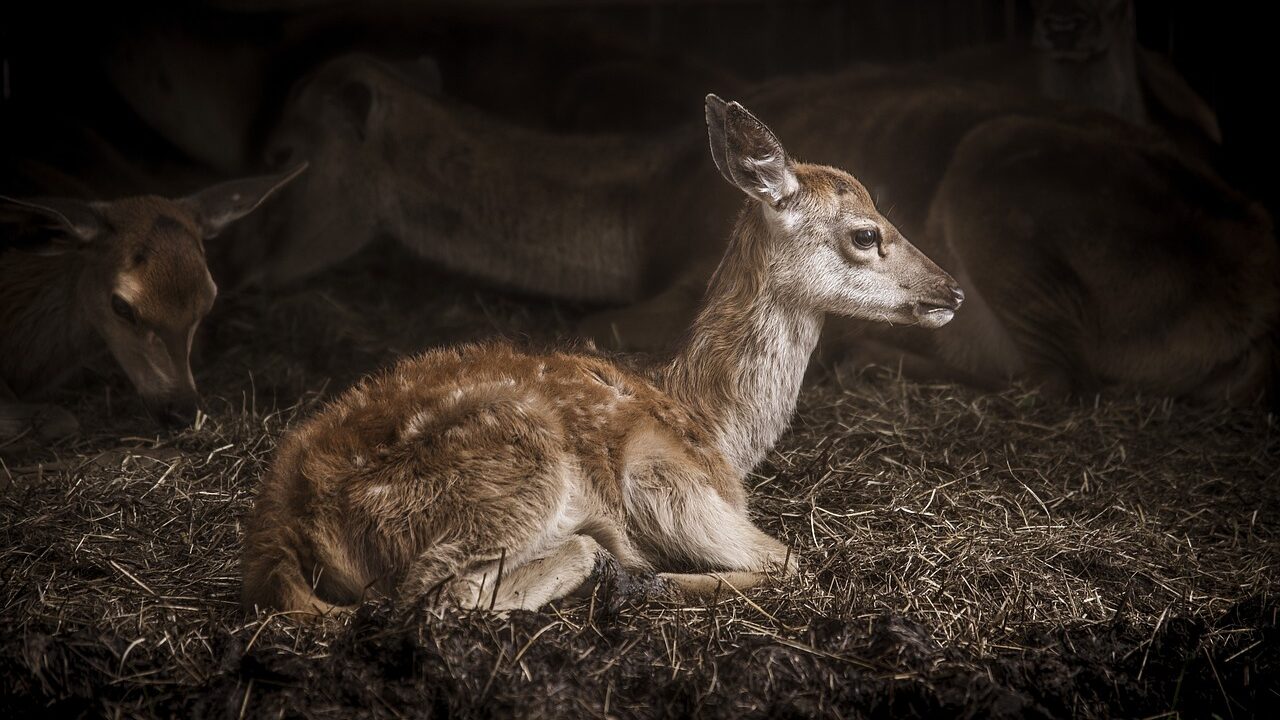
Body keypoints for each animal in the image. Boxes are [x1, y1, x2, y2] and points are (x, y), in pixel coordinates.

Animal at [240, 95, 963, 615]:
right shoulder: (667, 480)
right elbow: (792, 562)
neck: (715, 429)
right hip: (513, 477)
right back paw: (608, 567)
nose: (951, 290)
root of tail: (282, 522)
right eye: (866, 234)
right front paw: (646, 578)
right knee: (437, 594)